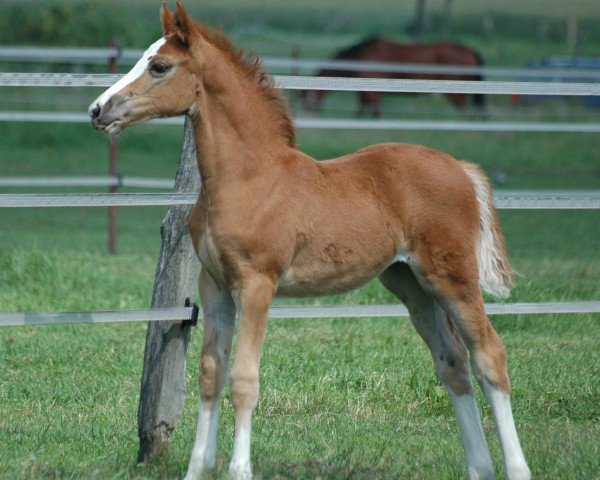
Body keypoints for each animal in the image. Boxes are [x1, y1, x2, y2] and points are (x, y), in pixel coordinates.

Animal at [302, 36, 486, 117]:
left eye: (307, 95)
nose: (308, 112)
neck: (361, 56)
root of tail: (469, 50)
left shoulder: (372, 93)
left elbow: (375, 112)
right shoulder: (364, 92)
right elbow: (361, 110)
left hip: (456, 94)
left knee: (463, 110)